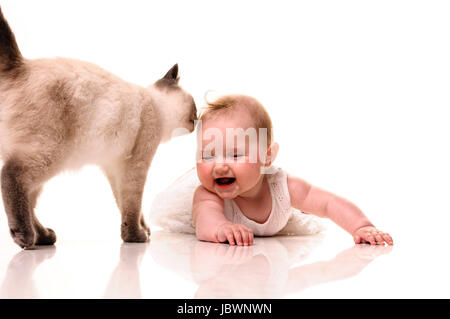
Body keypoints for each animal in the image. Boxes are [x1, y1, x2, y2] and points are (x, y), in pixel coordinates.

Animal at [0, 6, 197, 248]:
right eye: (194, 108)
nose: (197, 119)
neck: (154, 104)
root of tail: (21, 64)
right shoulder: (136, 165)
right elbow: (132, 205)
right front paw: (136, 237)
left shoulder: (115, 168)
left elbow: (126, 205)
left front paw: (144, 230)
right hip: (50, 154)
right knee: (11, 176)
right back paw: (25, 237)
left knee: (29, 198)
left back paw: (44, 236)